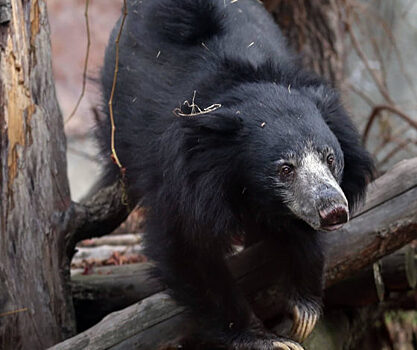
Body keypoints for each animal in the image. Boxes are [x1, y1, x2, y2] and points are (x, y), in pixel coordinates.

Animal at [97, 0, 374, 350]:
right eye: (285, 169)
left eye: (330, 158)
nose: (333, 210)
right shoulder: (182, 177)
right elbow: (188, 245)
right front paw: (267, 339)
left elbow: (300, 233)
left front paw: (304, 311)